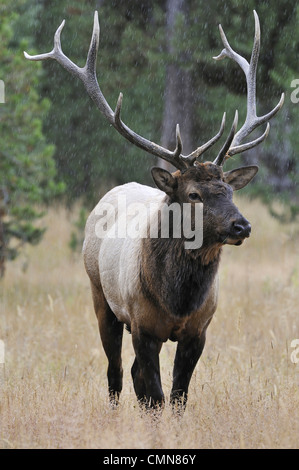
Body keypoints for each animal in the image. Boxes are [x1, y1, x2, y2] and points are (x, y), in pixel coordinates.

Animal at [24, 10, 284, 408]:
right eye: (193, 194)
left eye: (229, 190)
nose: (242, 226)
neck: (177, 300)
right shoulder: (143, 327)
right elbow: (157, 395)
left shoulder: (198, 330)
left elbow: (177, 396)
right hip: (101, 298)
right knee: (115, 373)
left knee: (132, 375)